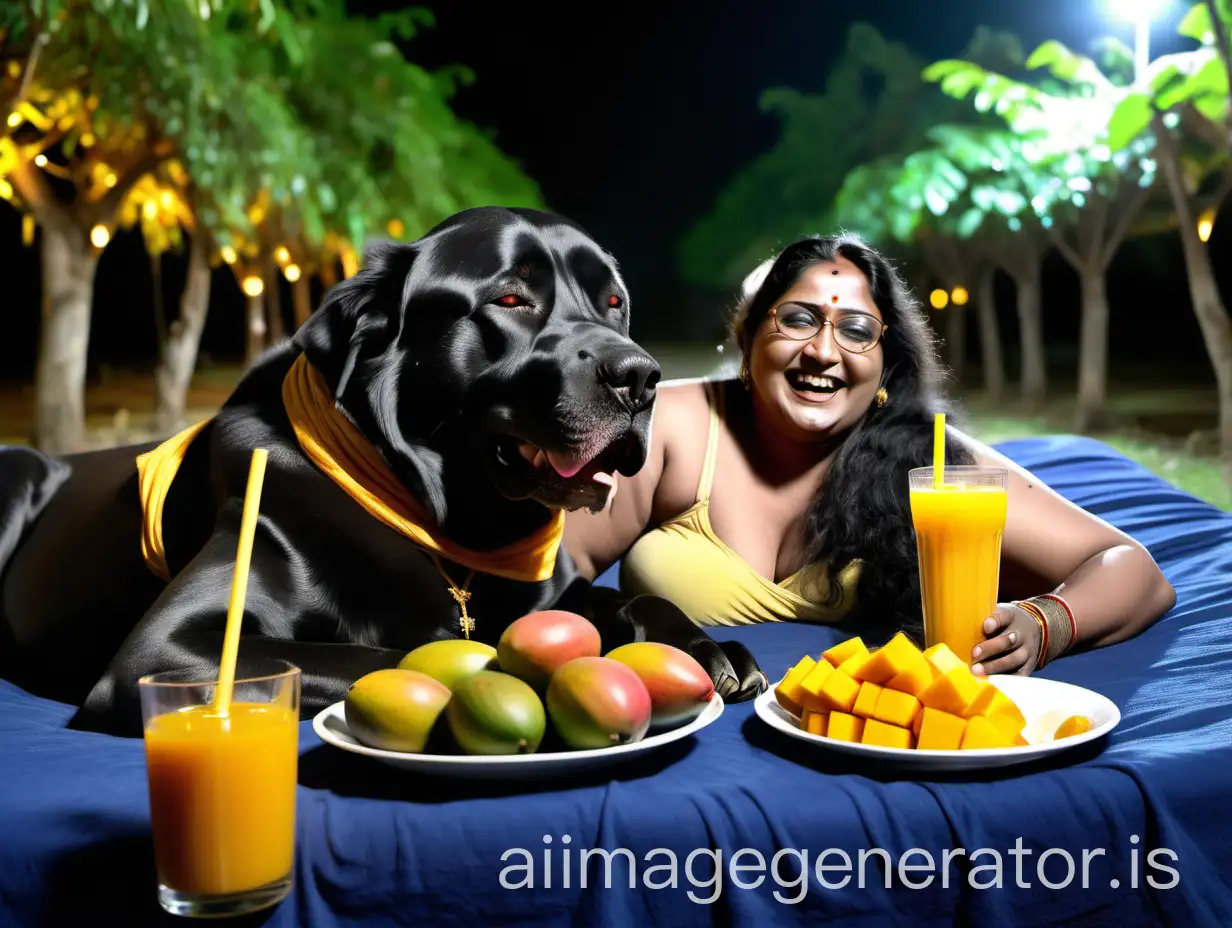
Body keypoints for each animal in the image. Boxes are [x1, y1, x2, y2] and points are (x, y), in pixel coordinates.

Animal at [0, 205, 768, 734]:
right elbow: (391, 653)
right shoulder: (164, 651)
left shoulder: (556, 588)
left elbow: (627, 601)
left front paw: (703, 647)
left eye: (614, 304)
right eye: (510, 299)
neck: (449, 527)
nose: (641, 378)